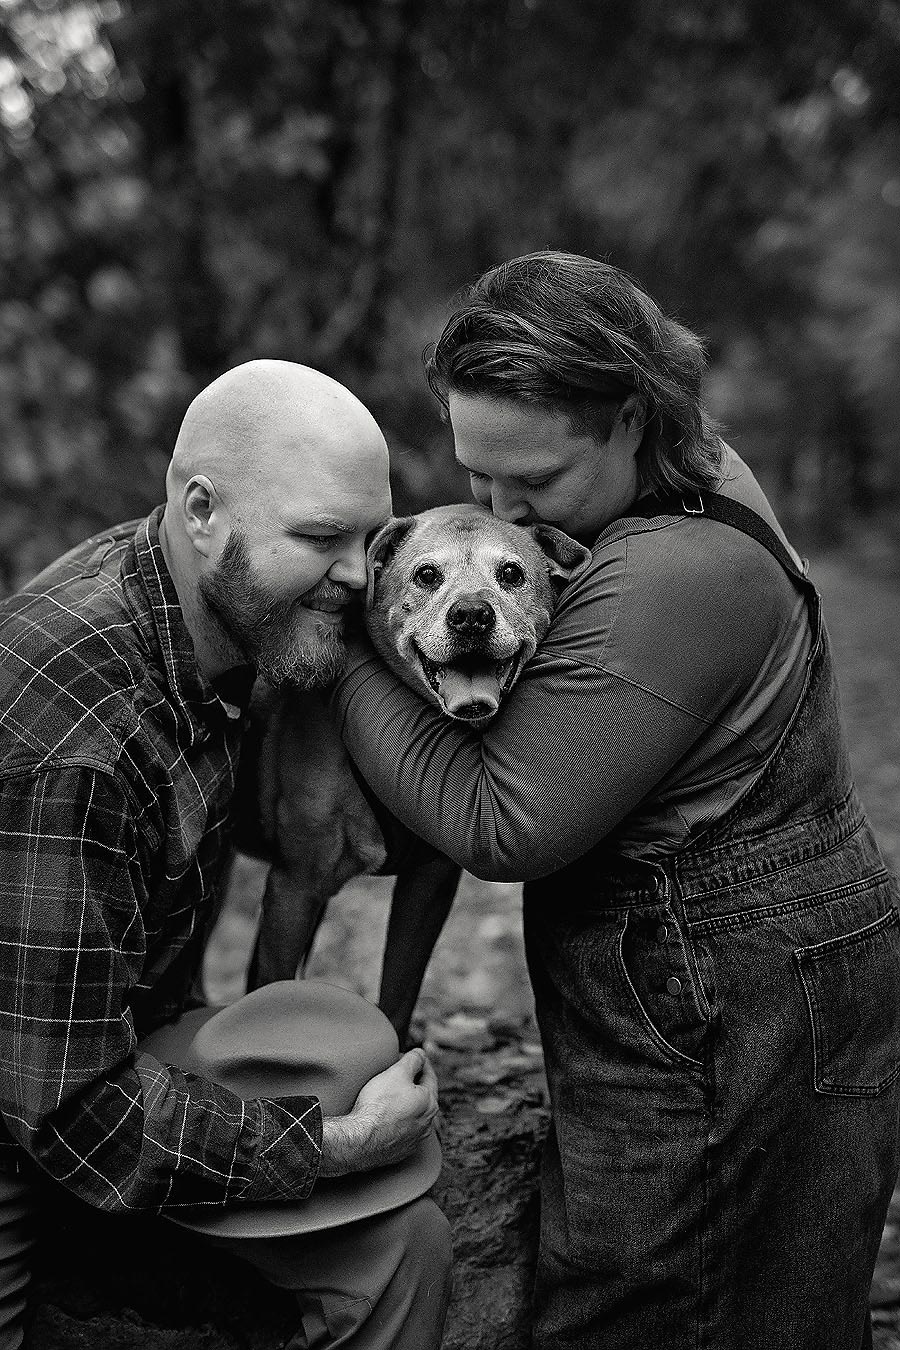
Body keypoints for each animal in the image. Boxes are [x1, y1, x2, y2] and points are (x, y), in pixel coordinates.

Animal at [232, 504, 591, 1041]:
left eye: (511, 573)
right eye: (426, 575)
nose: (471, 615)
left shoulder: (429, 884)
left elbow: (398, 994)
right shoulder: (294, 886)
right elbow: (270, 990)